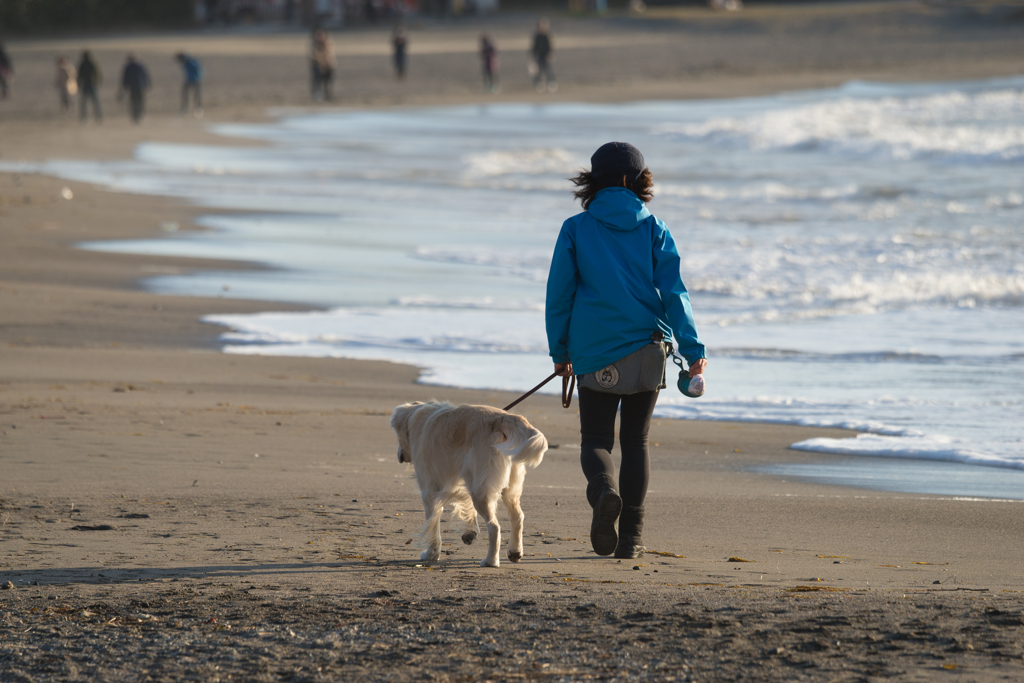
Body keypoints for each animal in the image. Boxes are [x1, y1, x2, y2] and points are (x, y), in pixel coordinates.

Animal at [391, 401, 548, 565]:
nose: (399, 455)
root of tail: (503, 418)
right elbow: (466, 504)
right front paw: (470, 532)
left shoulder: (429, 491)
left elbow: (433, 523)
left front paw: (431, 554)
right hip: (508, 487)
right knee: (517, 517)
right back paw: (514, 552)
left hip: (481, 490)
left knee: (494, 527)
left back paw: (490, 561)